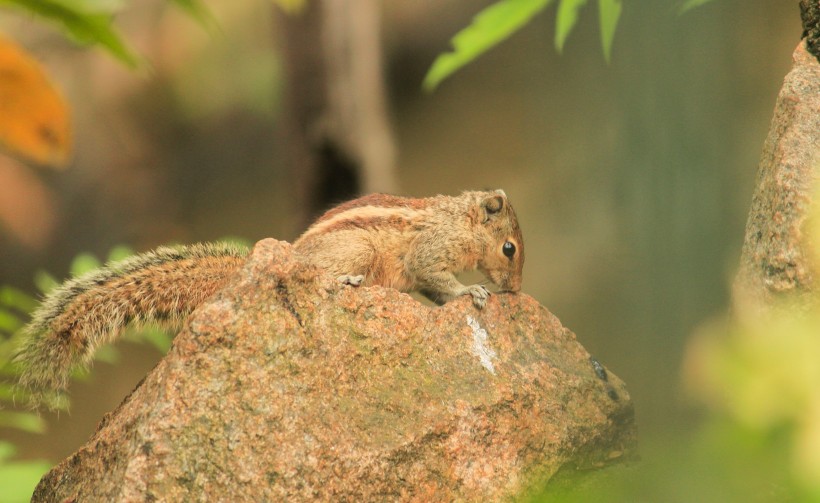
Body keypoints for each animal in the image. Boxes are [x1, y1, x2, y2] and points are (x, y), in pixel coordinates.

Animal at [16, 191, 524, 404]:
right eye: (509, 248)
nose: (516, 289)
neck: (461, 220)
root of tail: (286, 251)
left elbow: (433, 289)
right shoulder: (430, 252)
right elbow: (437, 276)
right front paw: (473, 290)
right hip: (357, 249)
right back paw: (346, 282)